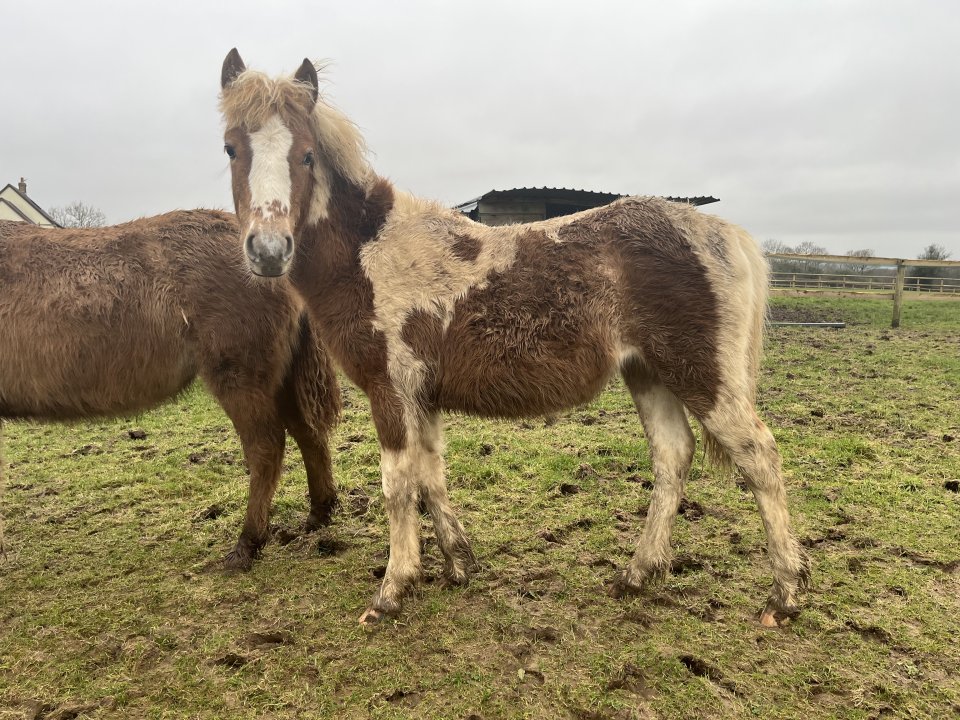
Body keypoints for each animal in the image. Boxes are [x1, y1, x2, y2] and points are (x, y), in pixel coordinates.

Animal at [0, 210, 340, 569]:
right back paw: (319, 513)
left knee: (266, 450)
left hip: (242, 378)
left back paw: (247, 544)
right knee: (308, 434)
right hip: (280, 380)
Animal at [217, 49, 810, 627]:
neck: (369, 253)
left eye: (306, 155)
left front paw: (392, 590)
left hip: (701, 375)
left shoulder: (393, 390)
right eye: (231, 148)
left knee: (760, 458)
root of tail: (725, 234)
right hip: (649, 372)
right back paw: (636, 575)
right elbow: (431, 475)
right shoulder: (422, 397)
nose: (268, 251)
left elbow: (398, 485)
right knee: (672, 456)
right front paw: (459, 565)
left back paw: (784, 595)